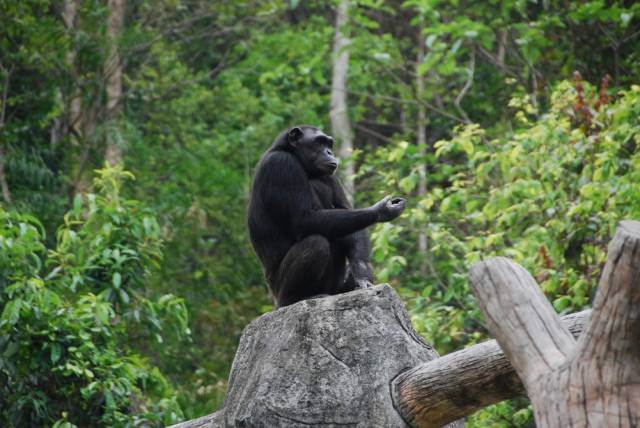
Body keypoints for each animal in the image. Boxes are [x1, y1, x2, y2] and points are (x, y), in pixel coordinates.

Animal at [249, 124, 404, 308]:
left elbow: (346, 212)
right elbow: (303, 220)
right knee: (316, 243)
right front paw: (380, 210)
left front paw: (362, 274)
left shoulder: (331, 177)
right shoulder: (282, 165)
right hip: (278, 290)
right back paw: (295, 299)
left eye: (329, 144)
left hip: (331, 286)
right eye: (319, 142)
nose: (330, 152)